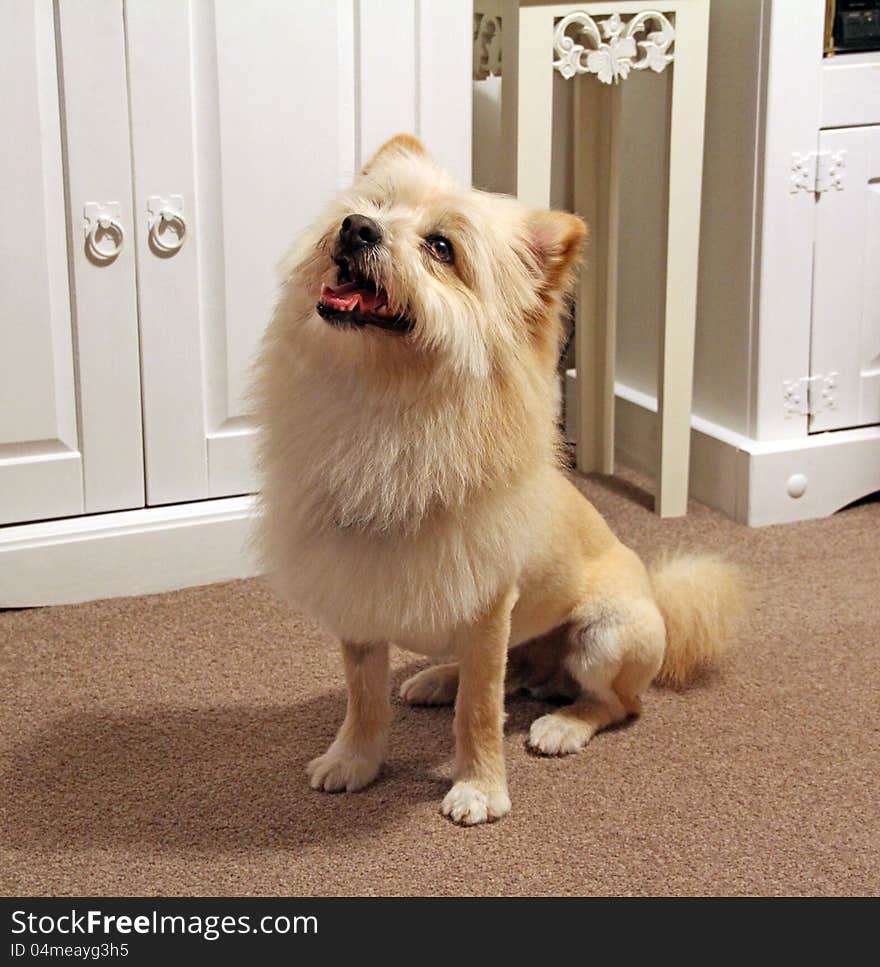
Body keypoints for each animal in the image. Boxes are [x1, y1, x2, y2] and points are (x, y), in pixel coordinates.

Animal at [254, 136, 744, 828]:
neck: (387, 406)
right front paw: (354, 759)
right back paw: (440, 678)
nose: (356, 228)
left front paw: (480, 787)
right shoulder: (356, 590)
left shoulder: (487, 606)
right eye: (375, 205)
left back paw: (563, 724)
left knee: (614, 705)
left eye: (441, 248)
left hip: (605, 637)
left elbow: (481, 710)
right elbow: (363, 697)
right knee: (513, 676)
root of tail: (657, 594)